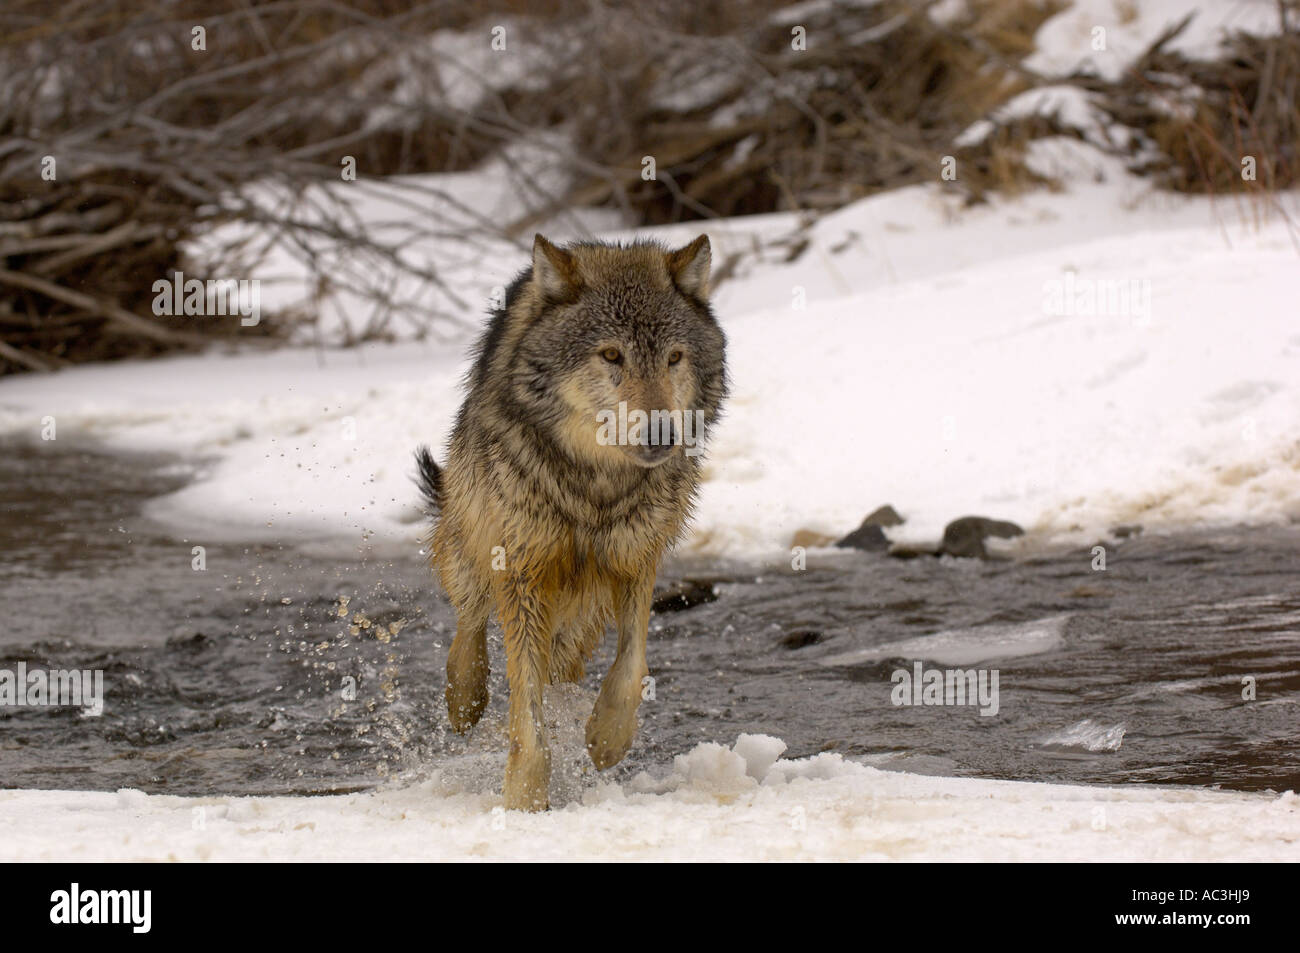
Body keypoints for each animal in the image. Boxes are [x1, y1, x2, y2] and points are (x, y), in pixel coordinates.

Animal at [415, 233, 727, 810]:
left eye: (674, 358)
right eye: (611, 355)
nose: (661, 434)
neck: (594, 490)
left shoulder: (636, 559)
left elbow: (631, 664)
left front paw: (607, 738)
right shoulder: (521, 571)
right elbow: (525, 702)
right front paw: (523, 798)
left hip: (582, 609)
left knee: (562, 665)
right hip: (472, 547)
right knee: (469, 621)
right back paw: (464, 700)